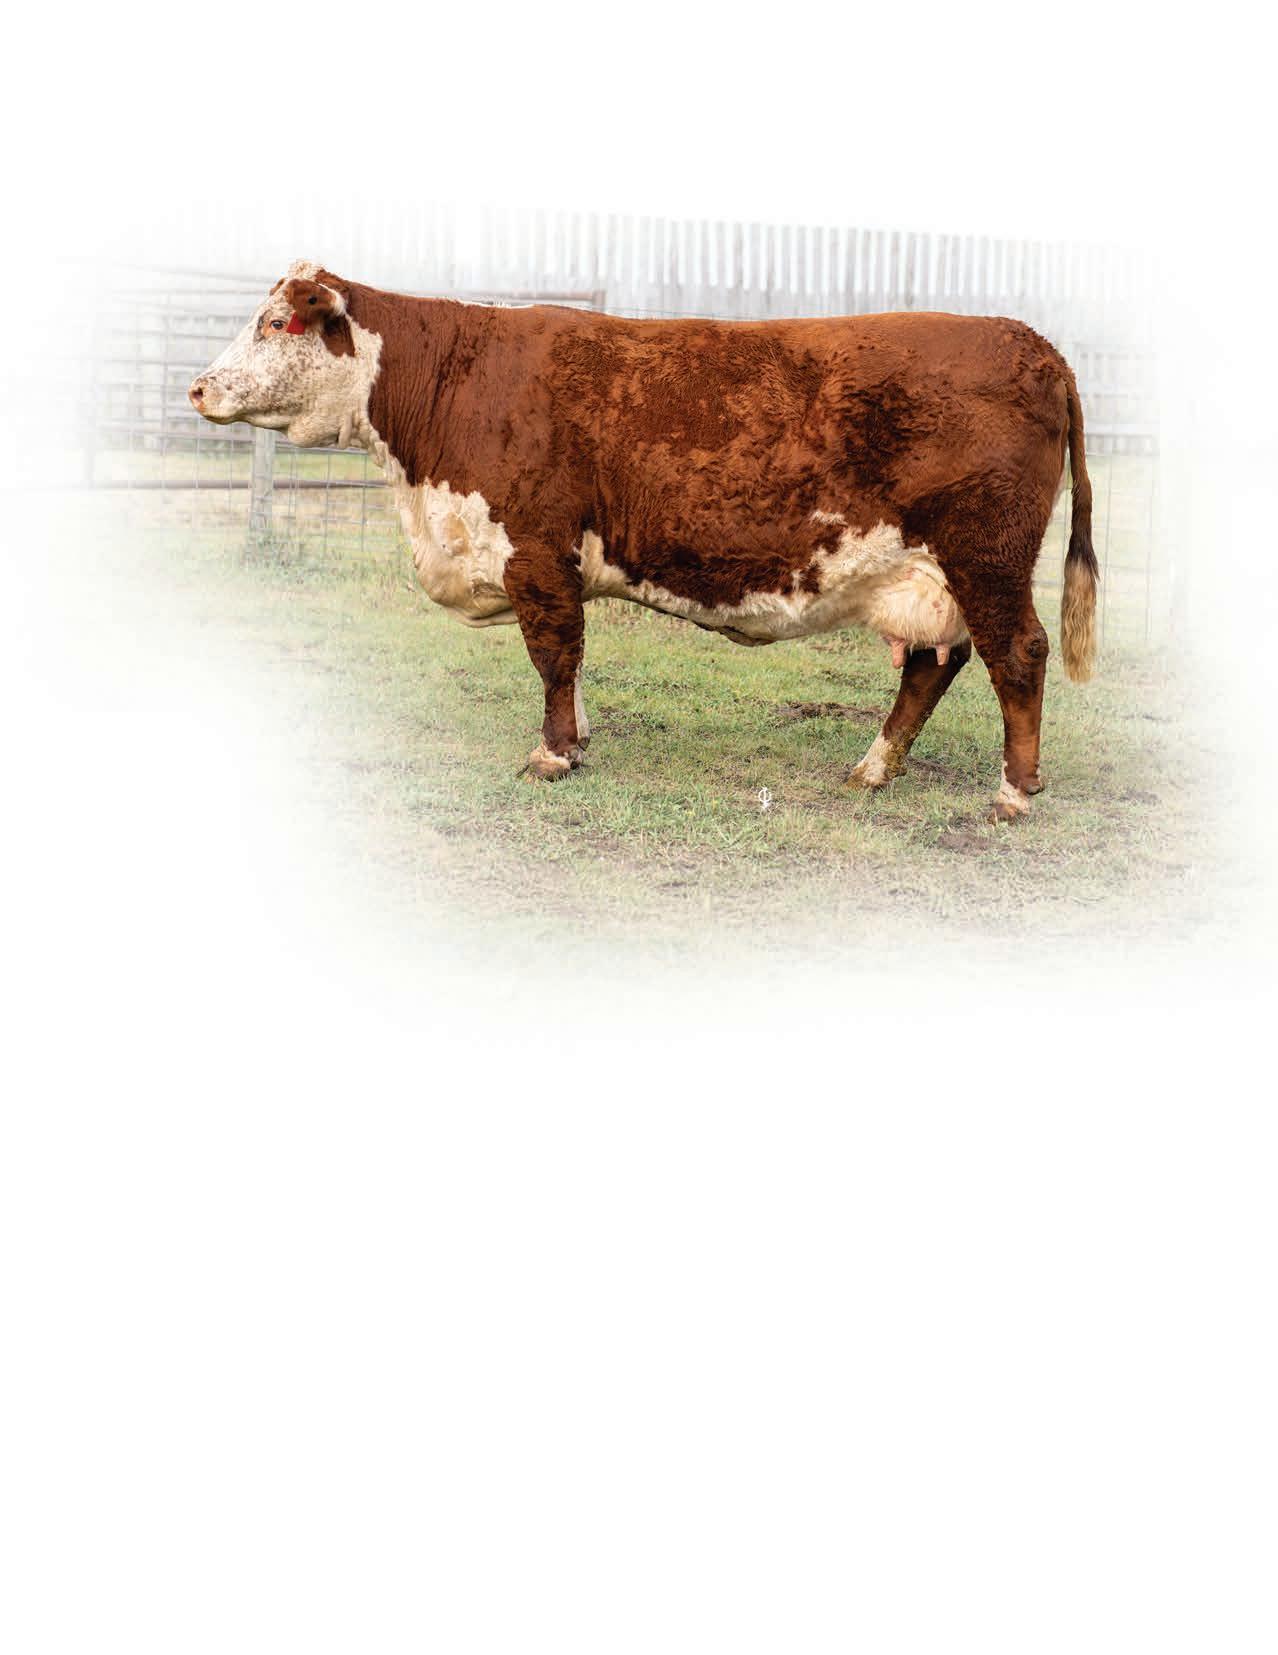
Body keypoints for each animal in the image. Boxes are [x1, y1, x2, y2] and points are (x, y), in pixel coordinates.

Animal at [190, 260, 1098, 821]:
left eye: (278, 321)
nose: (198, 386)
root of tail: (1036, 345)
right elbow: (568, 660)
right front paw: (579, 737)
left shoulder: (536, 547)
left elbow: (554, 651)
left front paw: (553, 754)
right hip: (930, 571)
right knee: (933, 661)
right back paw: (872, 768)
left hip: (988, 554)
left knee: (1018, 652)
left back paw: (1014, 792)